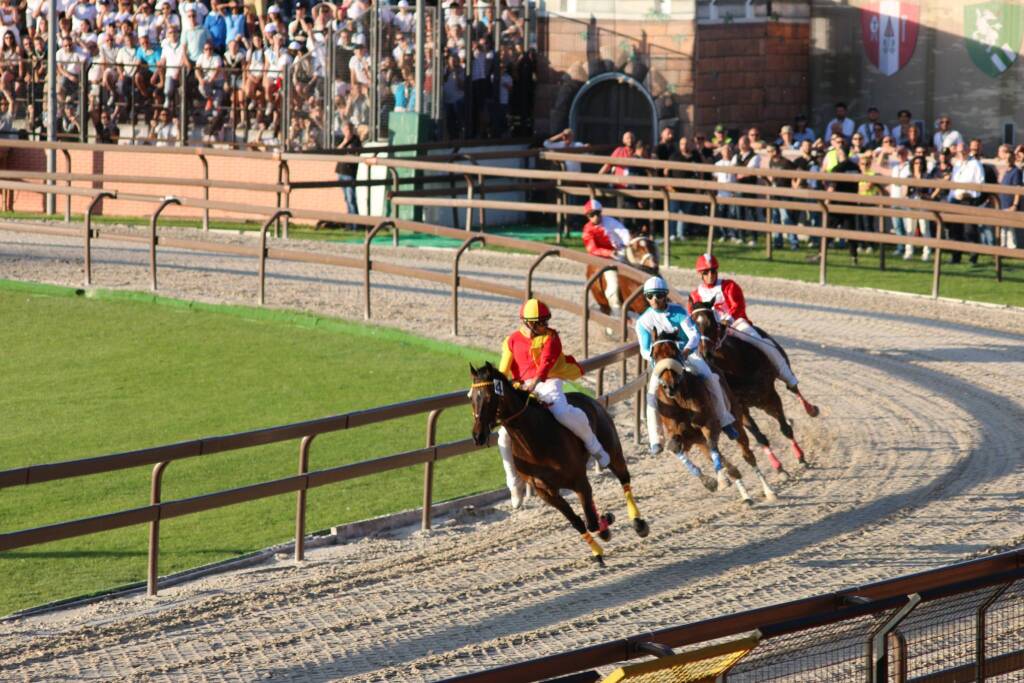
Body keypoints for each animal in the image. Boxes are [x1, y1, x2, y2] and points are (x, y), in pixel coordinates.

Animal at [468, 362, 651, 565]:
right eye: (472, 398)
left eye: (489, 397)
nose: (477, 435)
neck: (534, 442)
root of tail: (590, 399)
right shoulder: (545, 492)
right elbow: (578, 521)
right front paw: (598, 549)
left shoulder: (579, 481)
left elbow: (591, 522)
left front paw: (606, 522)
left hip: (612, 449)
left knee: (624, 478)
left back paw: (638, 522)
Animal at [647, 333, 774, 505]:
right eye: (654, 355)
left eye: (675, 351)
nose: (670, 386)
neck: (681, 399)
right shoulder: (684, 436)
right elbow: (675, 447)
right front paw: (710, 481)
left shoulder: (709, 424)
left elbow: (713, 444)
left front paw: (721, 479)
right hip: (699, 441)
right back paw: (744, 494)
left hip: (736, 421)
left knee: (747, 454)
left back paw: (768, 490)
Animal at [692, 303, 811, 471]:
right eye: (693, 324)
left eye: (711, 322)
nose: (705, 353)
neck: (735, 367)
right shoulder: (740, 408)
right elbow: (759, 437)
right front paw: (778, 466)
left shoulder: (769, 396)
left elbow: (785, 429)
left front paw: (800, 456)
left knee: (793, 388)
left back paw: (811, 408)